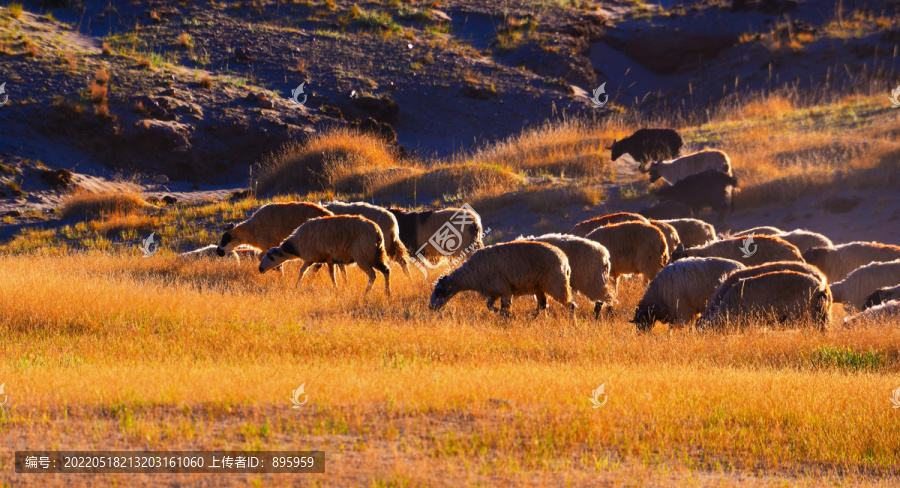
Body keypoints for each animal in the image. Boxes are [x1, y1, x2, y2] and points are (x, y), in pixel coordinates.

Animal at [428, 241, 576, 320]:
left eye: (439, 292)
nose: (431, 308)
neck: (471, 273)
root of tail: (565, 260)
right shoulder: (495, 292)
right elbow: (489, 306)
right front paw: (506, 316)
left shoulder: (504, 290)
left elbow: (504, 308)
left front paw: (508, 318)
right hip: (539, 287)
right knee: (542, 305)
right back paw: (532, 318)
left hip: (557, 284)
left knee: (571, 306)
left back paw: (572, 323)